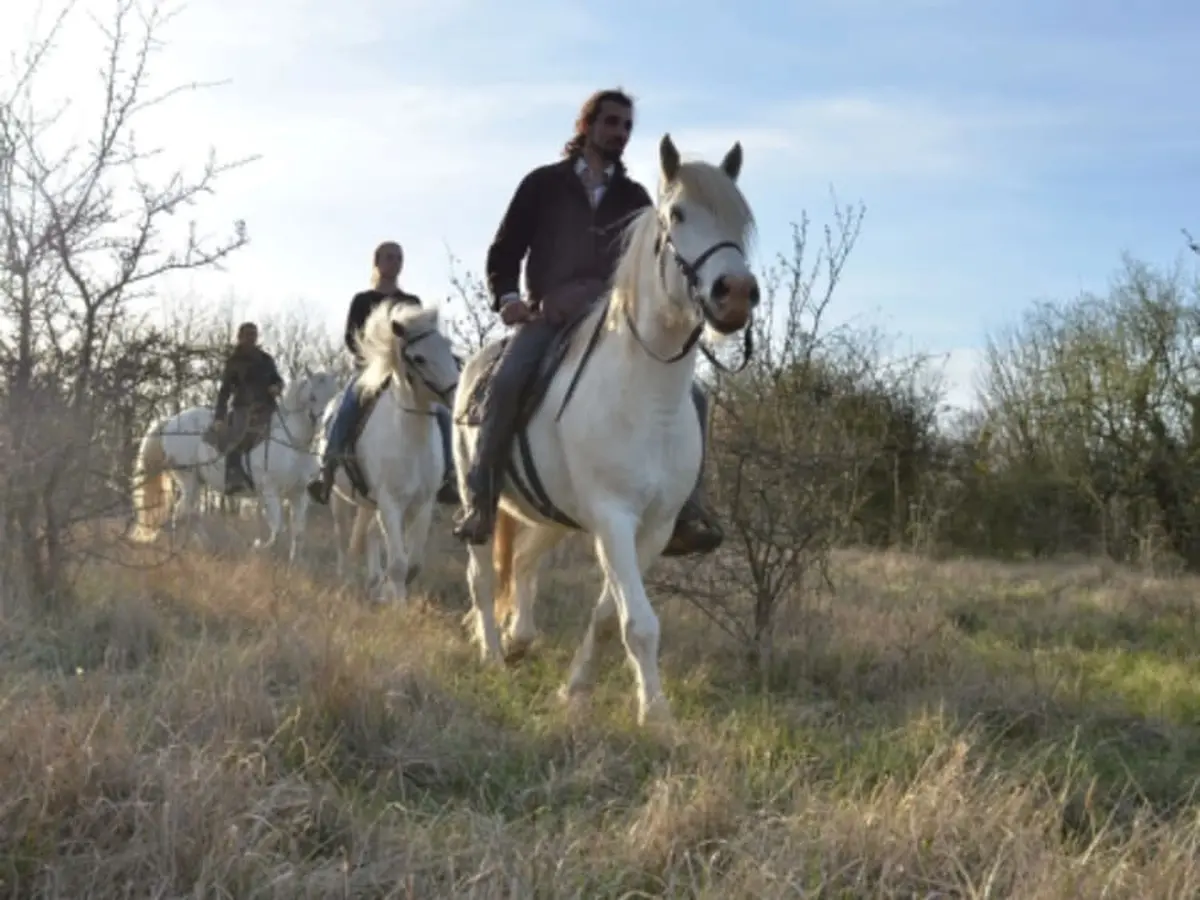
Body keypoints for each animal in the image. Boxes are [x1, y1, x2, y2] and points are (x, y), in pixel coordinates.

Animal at [128, 371, 341, 559]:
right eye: (312, 397)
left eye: (334, 395)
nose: (325, 424)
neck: (293, 443)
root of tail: (169, 422)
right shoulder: (270, 491)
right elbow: (278, 528)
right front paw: (259, 547)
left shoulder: (299, 494)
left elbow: (298, 532)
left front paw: (293, 564)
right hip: (189, 479)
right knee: (183, 513)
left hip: (197, 482)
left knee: (187, 514)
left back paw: (205, 548)